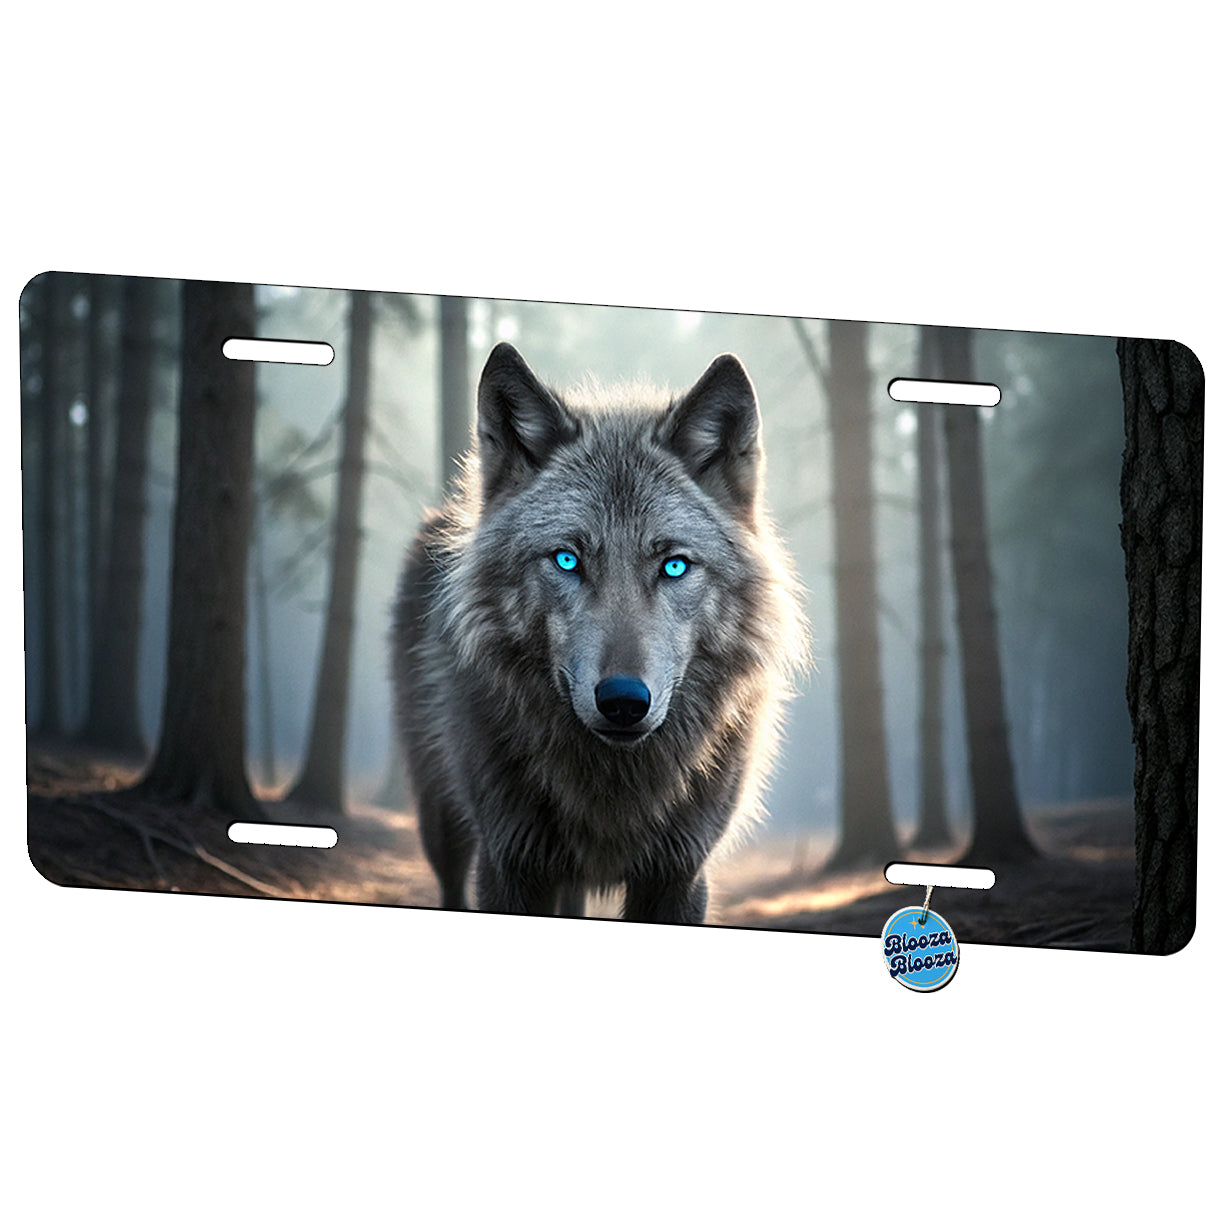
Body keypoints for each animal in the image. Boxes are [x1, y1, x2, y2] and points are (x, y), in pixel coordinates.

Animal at [391, 342, 807, 923]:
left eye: (674, 566)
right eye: (567, 559)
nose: (623, 701)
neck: (612, 786)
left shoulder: (679, 874)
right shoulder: (511, 863)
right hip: (443, 822)